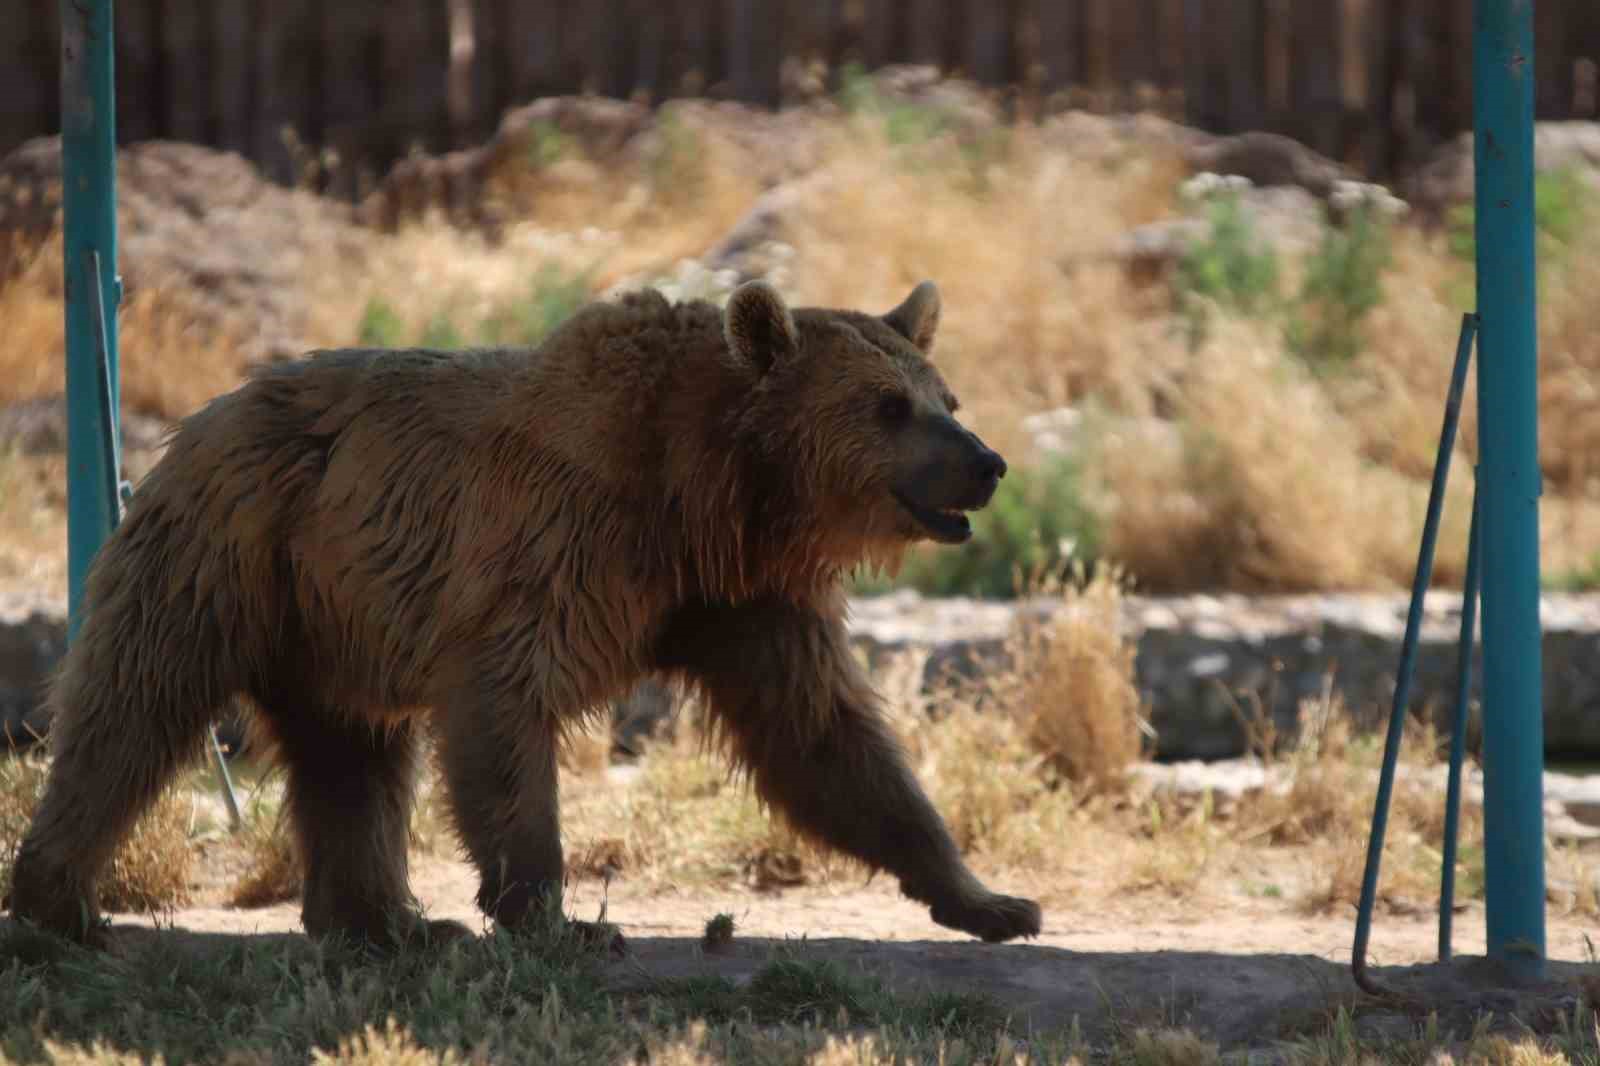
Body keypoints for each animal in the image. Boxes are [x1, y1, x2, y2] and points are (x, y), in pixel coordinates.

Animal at [12, 275, 1049, 947]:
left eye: (946, 397)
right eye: (887, 406)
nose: (987, 464)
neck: (708, 490)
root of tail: (209, 408)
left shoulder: (745, 602)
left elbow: (827, 739)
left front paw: (992, 900)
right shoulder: (553, 544)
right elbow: (507, 712)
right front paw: (559, 917)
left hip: (326, 619)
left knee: (349, 756)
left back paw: (383, 921)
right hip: (234, 551)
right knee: (135, 704)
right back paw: (60, 902)